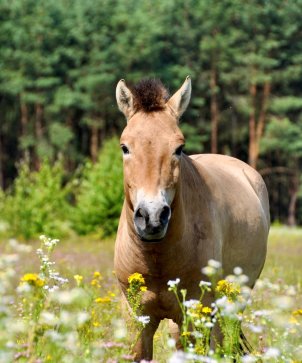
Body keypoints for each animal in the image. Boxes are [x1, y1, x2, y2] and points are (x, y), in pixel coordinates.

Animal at [114, 77, 270, 362]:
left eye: (179, 148)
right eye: (125, 147)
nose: (152, 217)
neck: (158, 259)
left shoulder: (195, 314)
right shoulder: (136, 320)